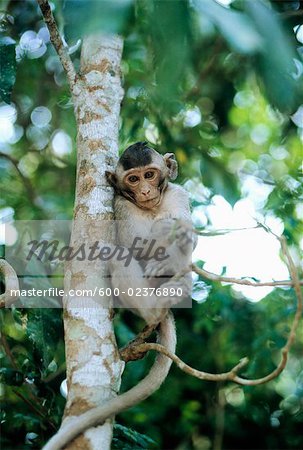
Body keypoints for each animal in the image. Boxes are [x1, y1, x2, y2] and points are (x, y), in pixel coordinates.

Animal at [42, 143, 195, 450]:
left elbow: (189, 234)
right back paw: (154, 308)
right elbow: (130, 243)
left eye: (150, 174)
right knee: (117, 254)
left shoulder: (179, 195)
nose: (145, 191)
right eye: (133, 179)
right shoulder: (121, 205)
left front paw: (173, 236)